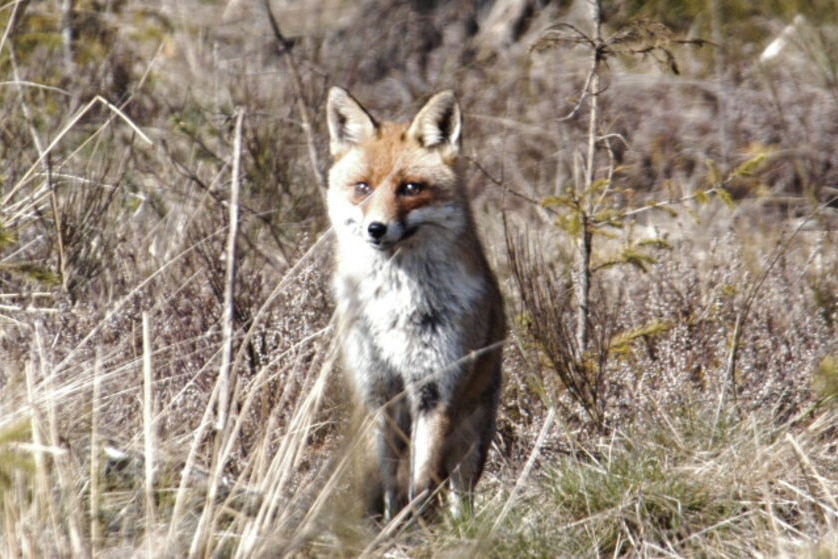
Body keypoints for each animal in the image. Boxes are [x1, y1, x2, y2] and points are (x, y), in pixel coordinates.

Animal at [326, 87, 506, 520]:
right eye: (363, 187)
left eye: (411, 188)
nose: (376, 229)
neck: (395, 307)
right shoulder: (375, 391)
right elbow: (382, 482)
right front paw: (381, 525)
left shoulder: (435, 390)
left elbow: (422, 485)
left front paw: (413, 525)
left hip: (472, 435)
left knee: (458, 490)